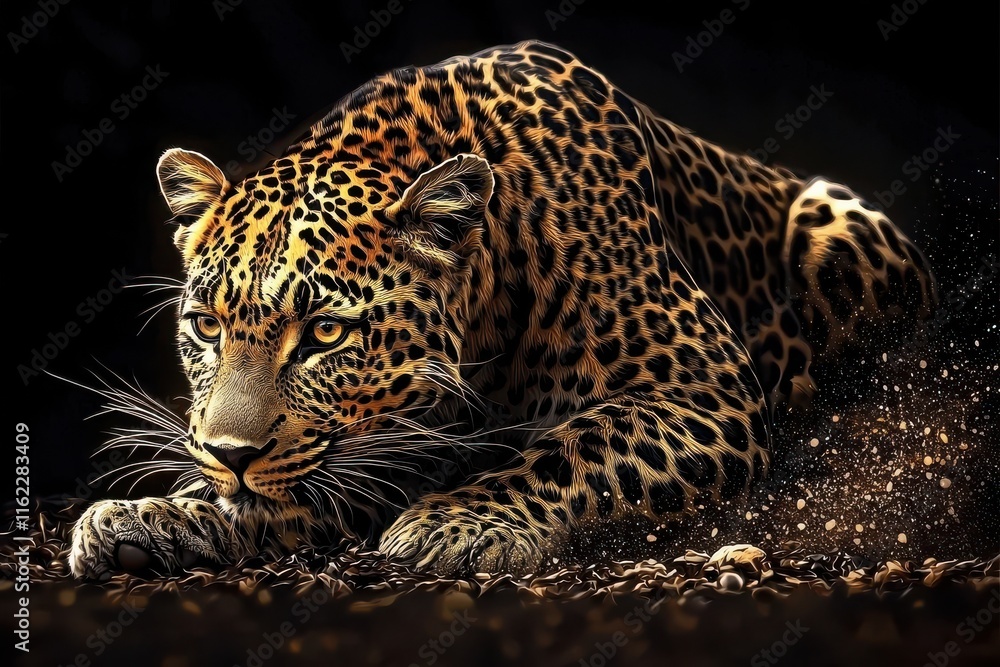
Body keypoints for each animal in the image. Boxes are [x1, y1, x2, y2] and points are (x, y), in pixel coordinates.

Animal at [70, 41, 936, 580]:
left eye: (324, 333)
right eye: (206, 326)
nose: (229, 452)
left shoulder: (703, 388)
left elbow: (577, 443)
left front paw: (456, 524)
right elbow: (299, 490)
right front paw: (150, 518)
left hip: (840, 227)